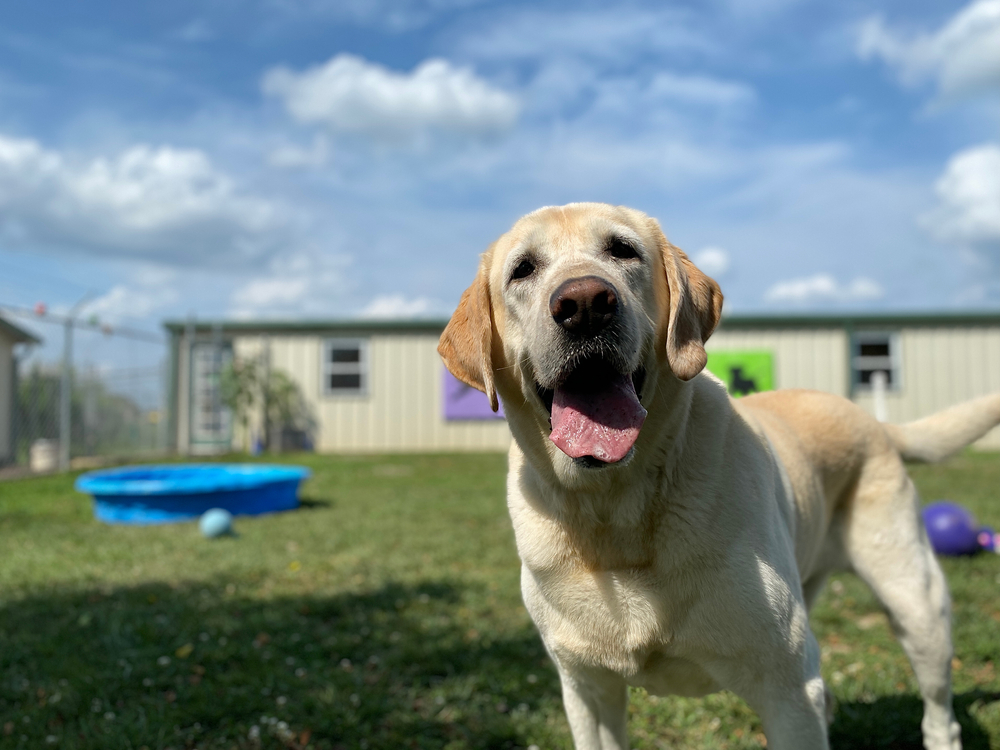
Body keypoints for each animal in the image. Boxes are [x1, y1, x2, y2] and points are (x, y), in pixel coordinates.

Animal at [438, 203, 1000, 750]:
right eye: (522, 270)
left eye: (623, 250)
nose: (585, 303)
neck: (616, 511)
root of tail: (873, 421)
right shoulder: (587, 687)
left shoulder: (786, 686)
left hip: (916, 603)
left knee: (939, 712)